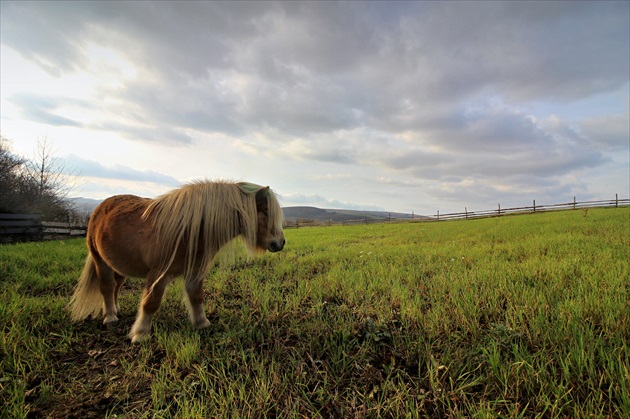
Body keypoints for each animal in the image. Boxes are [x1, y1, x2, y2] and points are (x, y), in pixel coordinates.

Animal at [70, 180, 286, 344]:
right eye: (265, 211)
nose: (280, 242)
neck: (188, 230)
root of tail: (99, 209)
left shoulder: (194, 272)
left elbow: (196, 297)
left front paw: (201, 323)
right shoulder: (158, 275)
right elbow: (151, 303)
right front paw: (140, 334)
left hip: (119, 266)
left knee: (116, 287)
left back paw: (115, 309)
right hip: (101, 262)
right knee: (107, 288)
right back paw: (110, 317)